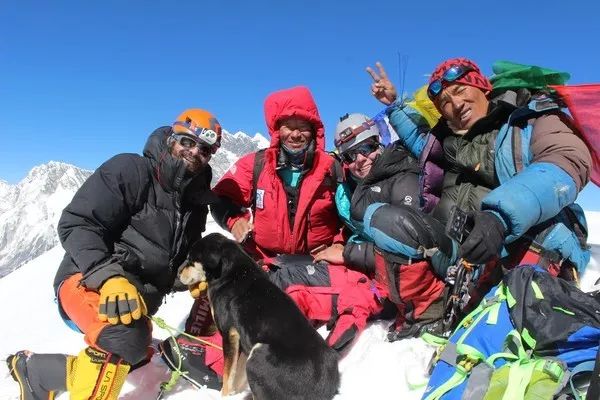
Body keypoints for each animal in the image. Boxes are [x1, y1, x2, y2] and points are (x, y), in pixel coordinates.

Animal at [178, 233, 340, 398]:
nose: (178, 273)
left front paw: (224, 395)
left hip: (258, 354)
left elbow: (228, 376)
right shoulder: (242, 340)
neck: (231, 274)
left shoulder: (229, 334)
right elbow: (237, 375)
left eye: (190, 260)